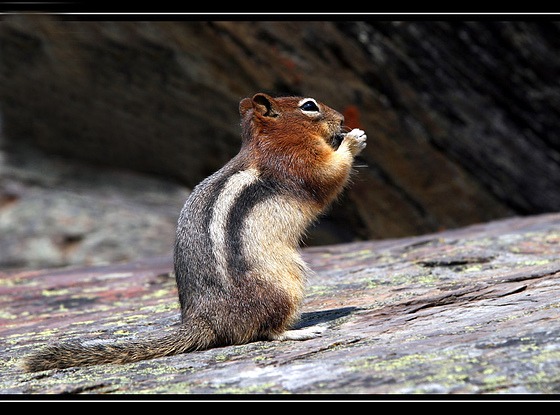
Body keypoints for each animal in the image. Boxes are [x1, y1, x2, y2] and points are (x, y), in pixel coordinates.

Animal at [23, 92, 368, 372]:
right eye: (309, 106)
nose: (342, 119)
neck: (271, 140)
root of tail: (204, 319)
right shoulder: (297, 162)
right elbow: (328, 174)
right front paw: (354, 140)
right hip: (283, 284)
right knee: (264, 332)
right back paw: (301, 330)